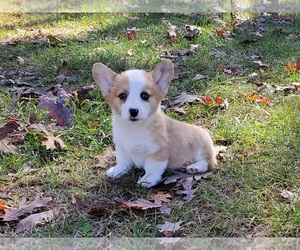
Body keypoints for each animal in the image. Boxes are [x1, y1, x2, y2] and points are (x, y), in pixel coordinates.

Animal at [91, 59, 216, 188]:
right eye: (122, 95)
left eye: (145, 95)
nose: (133, 111)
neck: (134, 128)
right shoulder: (121, 147)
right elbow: (122, 162)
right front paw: (117, 171)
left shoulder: (157, 152)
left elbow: (151, 168)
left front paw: (147, 180)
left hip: (202, 146)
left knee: (209, 161)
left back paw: (195, 167)